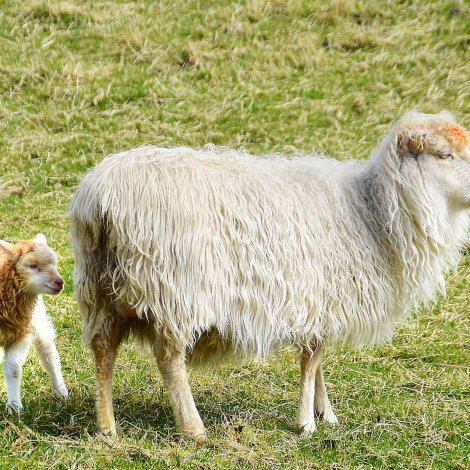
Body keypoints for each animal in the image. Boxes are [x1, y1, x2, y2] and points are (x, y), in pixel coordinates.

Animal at [0, 235, 68, 412]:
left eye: (55, 263)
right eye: (32, 266)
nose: (60, 282)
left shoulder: (23, 332)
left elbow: (13, 369)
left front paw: (14, 407)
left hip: (37, 320)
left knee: (49, 354)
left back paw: (61, 391)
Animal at [68, 110, 468, 436]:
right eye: (444, 155)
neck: (372, 213)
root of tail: (100, 200)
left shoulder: (320, 303)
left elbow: (318, 361)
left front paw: (326, 413)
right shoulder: (316, 296)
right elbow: (311, 360)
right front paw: (306, 422)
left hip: (98, 287)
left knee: (102, 351)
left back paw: (107, 426)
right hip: (173, 291)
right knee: (169, 360)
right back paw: (193, 428)